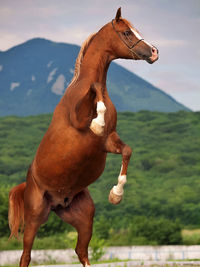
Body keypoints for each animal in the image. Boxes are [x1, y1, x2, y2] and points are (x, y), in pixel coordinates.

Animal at [7, 8, 159, 267]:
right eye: (127, 32)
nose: (154, 52)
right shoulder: (79, 122)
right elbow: (95, 89)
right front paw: (97, 122)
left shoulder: (107, 142)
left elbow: (127, 150)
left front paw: (116, 195)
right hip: (35, 217)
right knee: (26, 255)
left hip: (84, 218)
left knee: (81, 251)